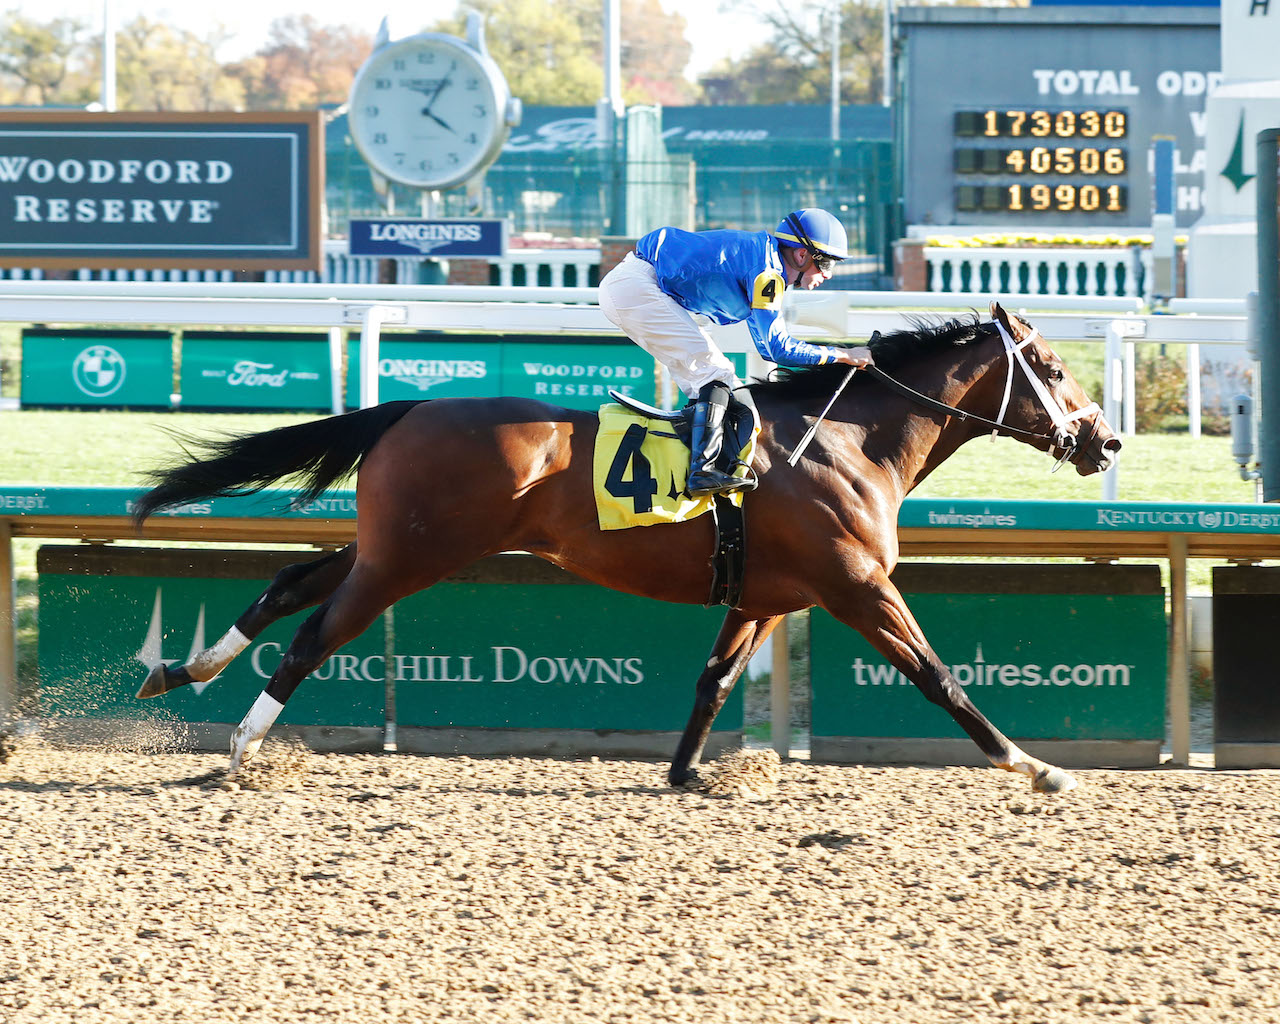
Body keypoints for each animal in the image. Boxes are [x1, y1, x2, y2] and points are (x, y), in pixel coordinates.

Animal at [135, 302, 1121, 793]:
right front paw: (1035, 767)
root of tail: (411, 408)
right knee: (315, 631)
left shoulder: (767, 596)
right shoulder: (855, 587)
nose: (1105, 441)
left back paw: (182, 671)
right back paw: (243, 748)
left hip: (391, 545)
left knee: (291, 584)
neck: (849, 442)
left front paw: (688, 774)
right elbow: (939, 676)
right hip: (408, 559)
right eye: (1055, 368)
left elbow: (714, 681)